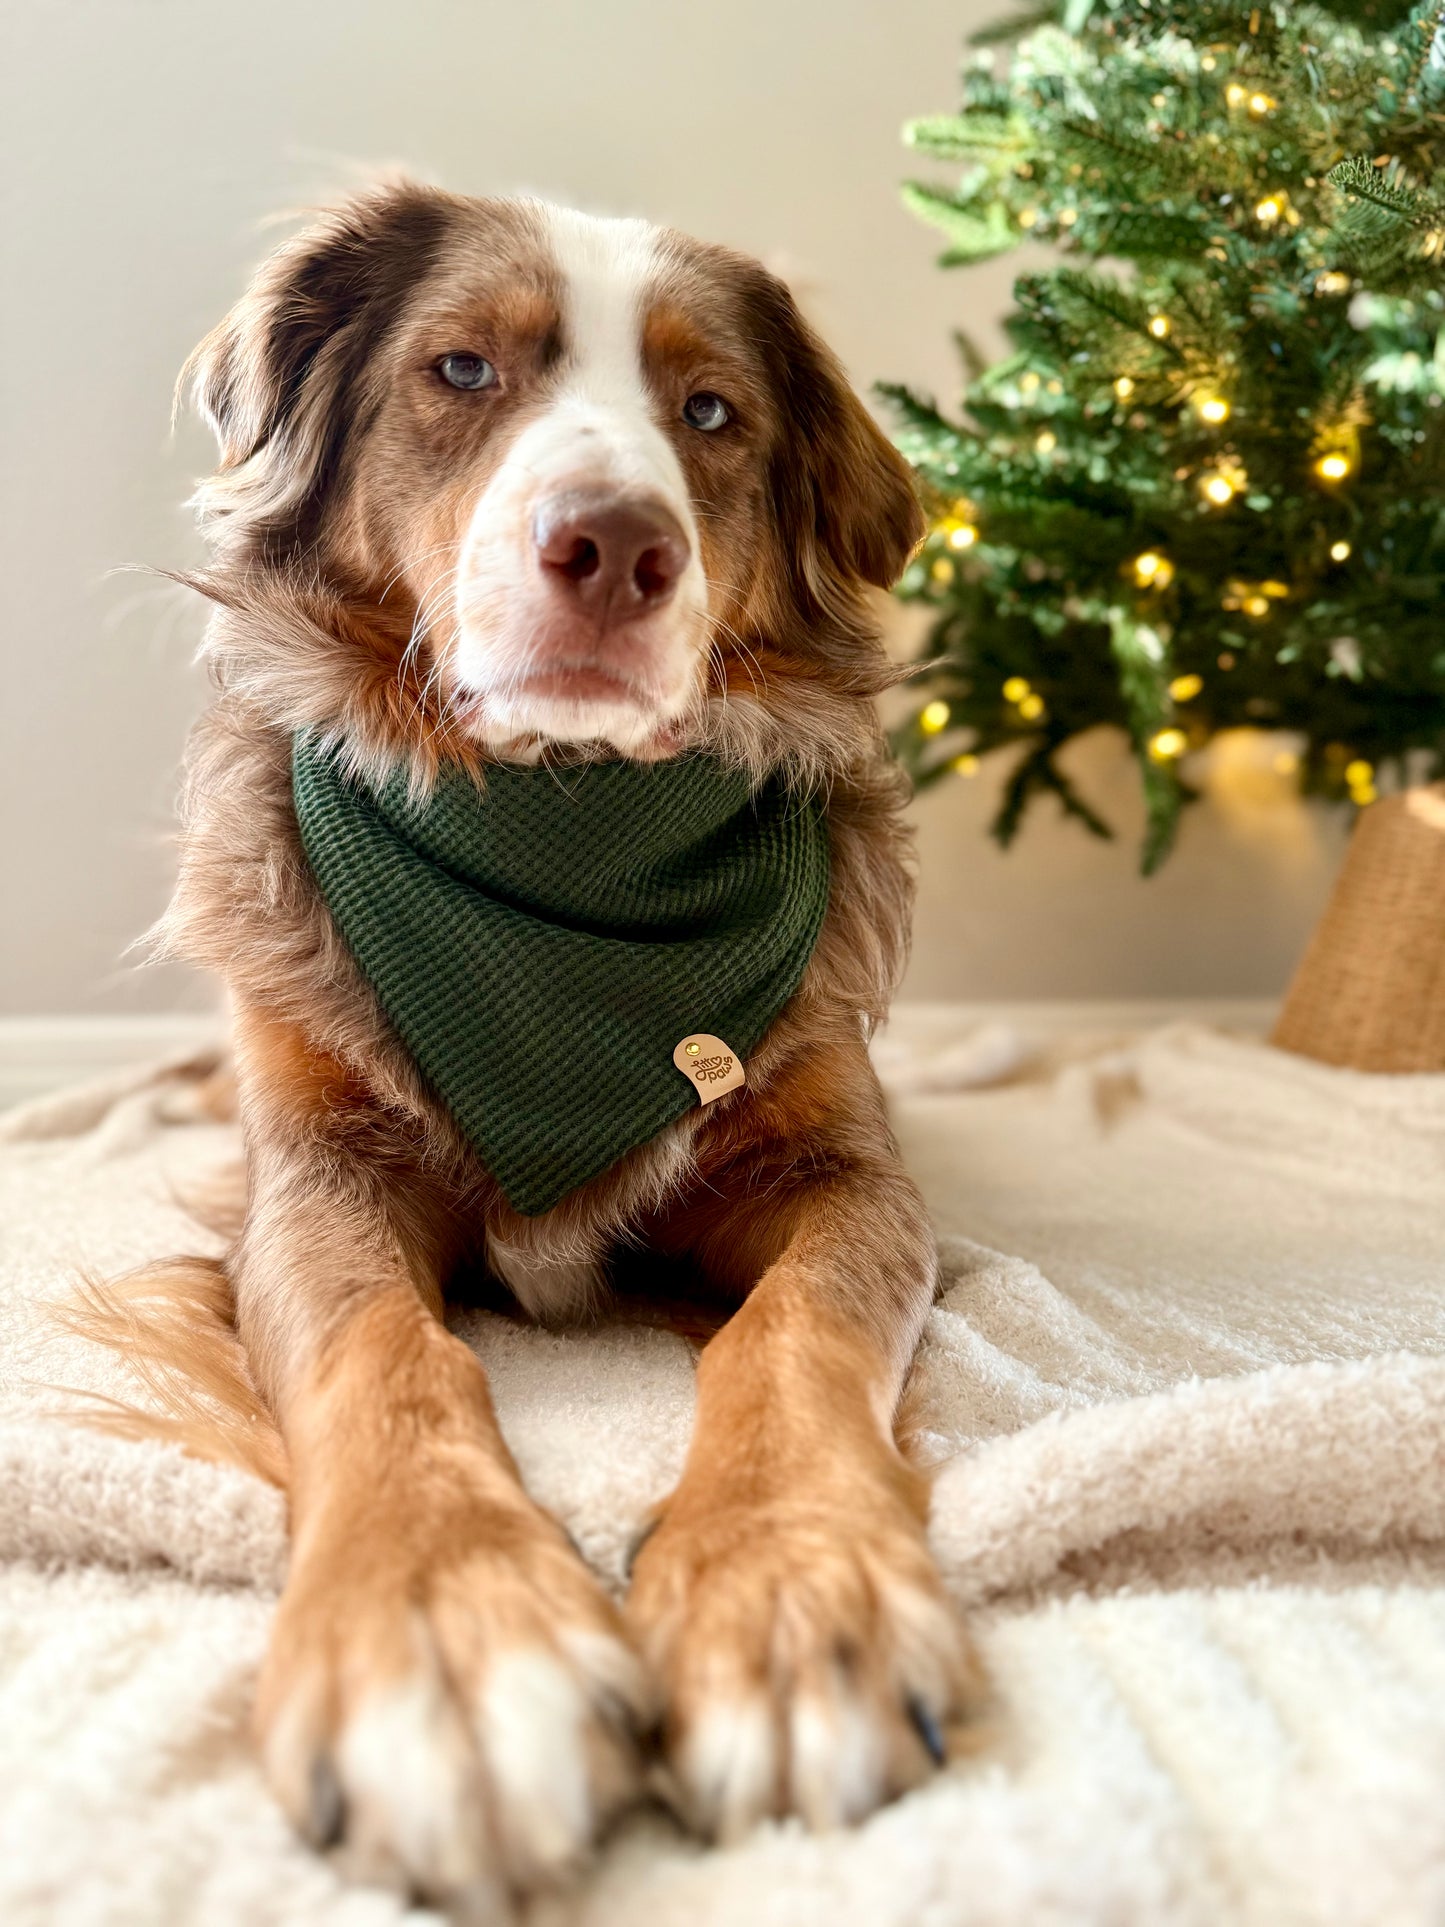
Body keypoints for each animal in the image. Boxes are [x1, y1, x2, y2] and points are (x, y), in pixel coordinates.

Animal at [130, 181, 978, 1911]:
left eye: (709, 412)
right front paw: (445, 1641)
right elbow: (384, 1347)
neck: (561, 836)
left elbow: (791, 1326)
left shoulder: (847, 1171)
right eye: (461, 369)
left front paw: (795, 1594)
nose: (618, 545)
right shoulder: (311, 1176)